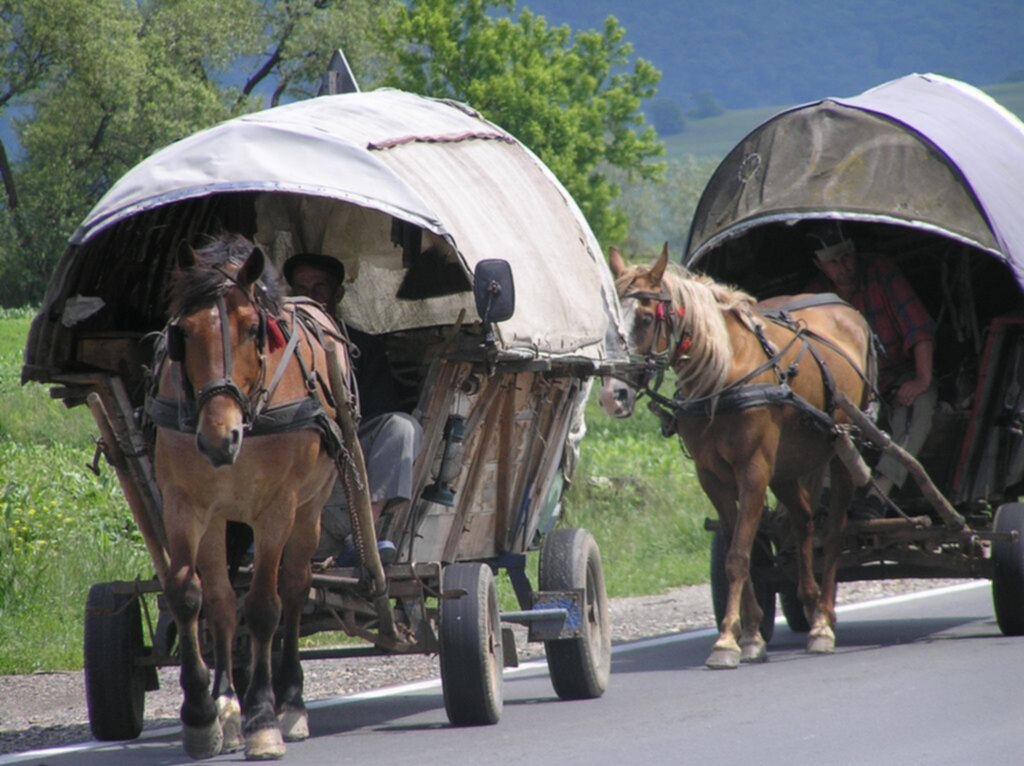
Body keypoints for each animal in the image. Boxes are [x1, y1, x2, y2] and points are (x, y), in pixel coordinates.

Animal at [148, 233, 346, 761]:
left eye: (253, 328)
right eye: (183, 331)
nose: (221, 438)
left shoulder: (275, 508)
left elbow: (262, 607)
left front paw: (262, 719)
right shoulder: (186, 505)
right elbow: (190, 596)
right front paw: (204, 713)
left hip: (309, 508)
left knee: (294, 589)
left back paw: (291, 702)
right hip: (221, 520)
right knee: (221, 602)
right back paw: (226, 703)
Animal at [602, 246, 876, 671]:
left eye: (646, 319)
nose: (611, 396)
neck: (725, 373)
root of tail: (848, 312)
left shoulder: (752, 471)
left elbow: (737, 556)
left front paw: (726, 642)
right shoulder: (713, 477)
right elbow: (743, 554)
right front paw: (749, 635)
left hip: (842, 452)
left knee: (832, 534)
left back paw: (822, 623)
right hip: (785, 468)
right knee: (803, 520)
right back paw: (810, 601)